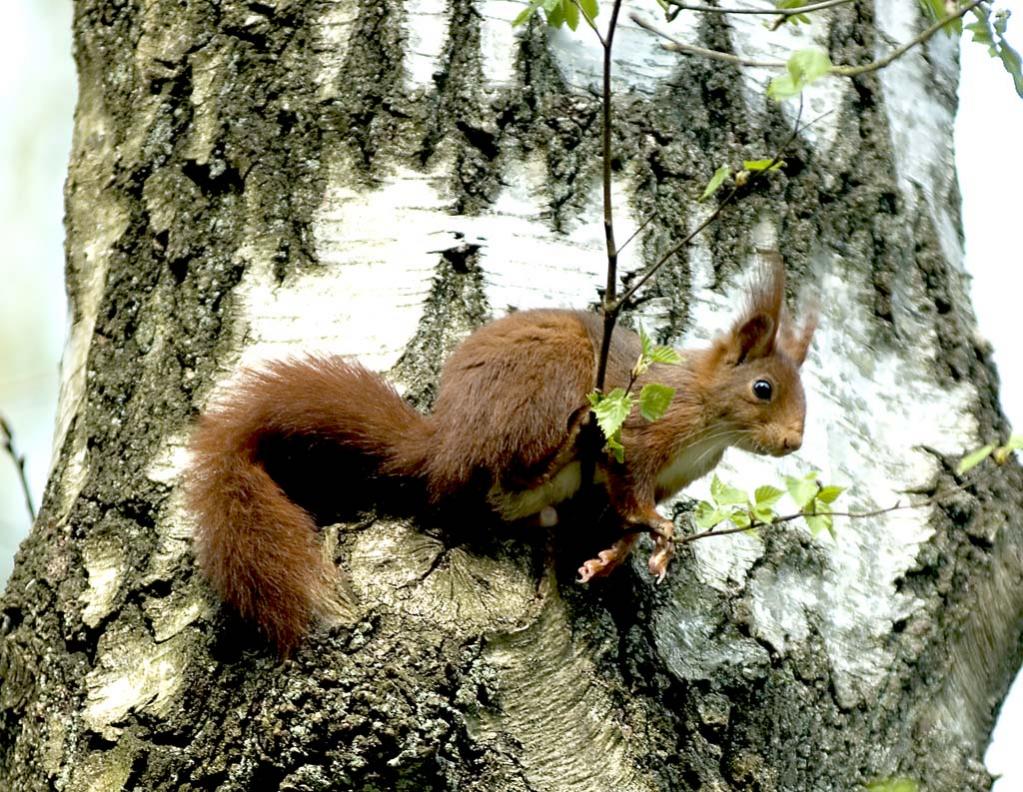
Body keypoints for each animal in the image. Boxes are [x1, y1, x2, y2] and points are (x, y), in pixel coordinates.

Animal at [184, 259, 815, 654]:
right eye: (763, 388)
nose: (793, 442)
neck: (707, 420)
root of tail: (446, 444)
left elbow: (625, 521)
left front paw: (613, 558)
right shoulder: (640, 438)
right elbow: (632, 496)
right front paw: (660, 534)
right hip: (548, 381)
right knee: (511, 468)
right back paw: (573, 434)